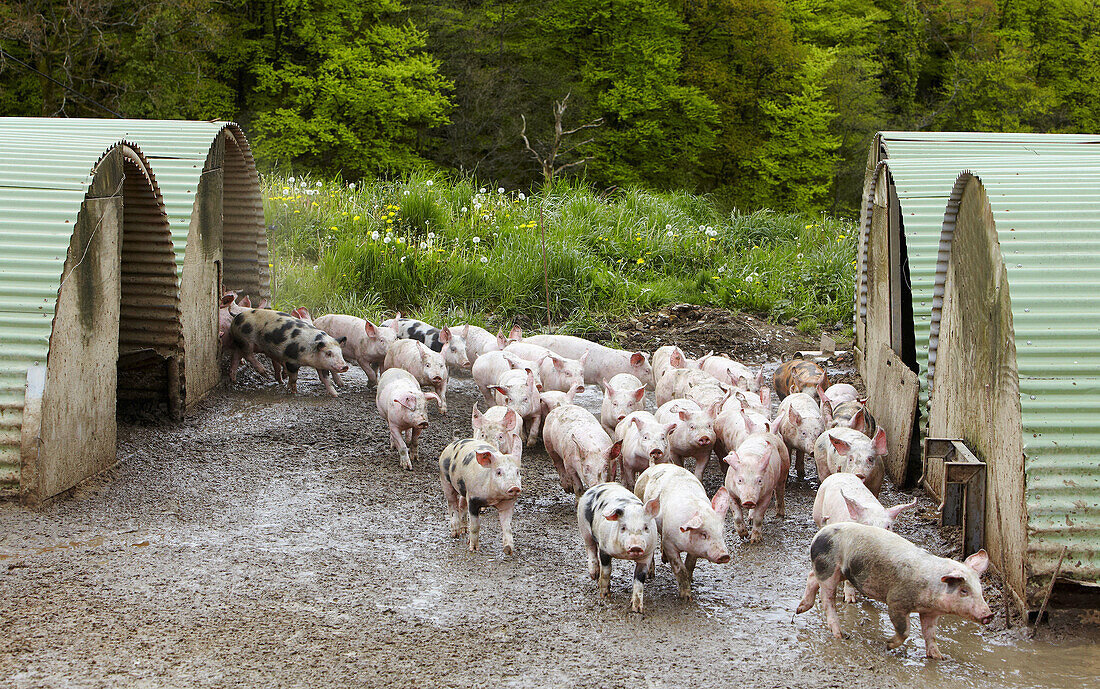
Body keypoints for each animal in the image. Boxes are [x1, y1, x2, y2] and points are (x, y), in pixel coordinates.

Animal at [576, 479, 660, 607]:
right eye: (623, 527)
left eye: (646, 527)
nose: (635, 546)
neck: (624, 555)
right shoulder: (604, 547)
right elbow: (606, 570)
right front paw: (605, 596)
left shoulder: (646, 555)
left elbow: (639, 579)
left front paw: (637, 608)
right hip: (583, 526)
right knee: (590, 548)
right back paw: (594, 575)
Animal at [633, 464, 734, 598]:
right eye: (704, 534)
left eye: (721, 533)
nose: (724, 555)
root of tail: (653, 466)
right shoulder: (669, 543)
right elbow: (679, 569)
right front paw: (686, 597)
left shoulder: (695, 549)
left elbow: (690, 565)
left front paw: (690, 582)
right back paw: (651, 575)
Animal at [796, 519, 994, 655]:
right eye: (964, 590)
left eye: (980, 590)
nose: (989, 615)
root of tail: (820, 533)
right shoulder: (896, 601)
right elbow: (905, 629)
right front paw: (888, 644)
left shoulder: (929, 613)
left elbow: (930, 633)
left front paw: (938, 657)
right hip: (829, 569)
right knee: (827, 599)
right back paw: (840, 635)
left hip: (834, 571)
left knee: (812, 577)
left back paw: (800, 609)